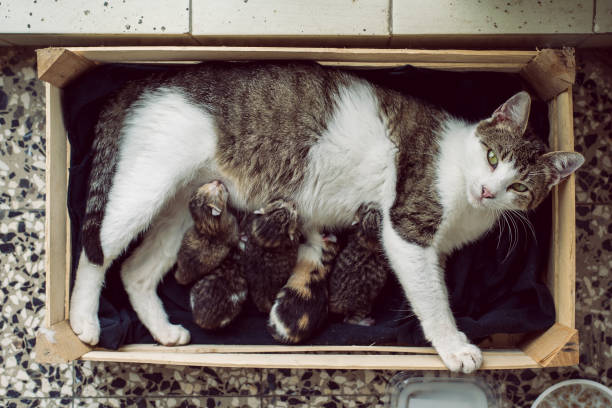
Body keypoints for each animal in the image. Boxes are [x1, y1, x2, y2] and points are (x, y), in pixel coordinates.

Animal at [68, 61, 584, 372]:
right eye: (492, 157)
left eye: (520, 187)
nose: (487, 189)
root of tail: (151, 78)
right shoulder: (407, 232)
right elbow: (433, 301)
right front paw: (454, 347)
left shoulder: (433, 249)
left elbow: (434, 289)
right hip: (148, 183)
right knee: (97, 249)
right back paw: (84, 322)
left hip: (181, 207)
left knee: (136, 271)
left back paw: (162, 331)